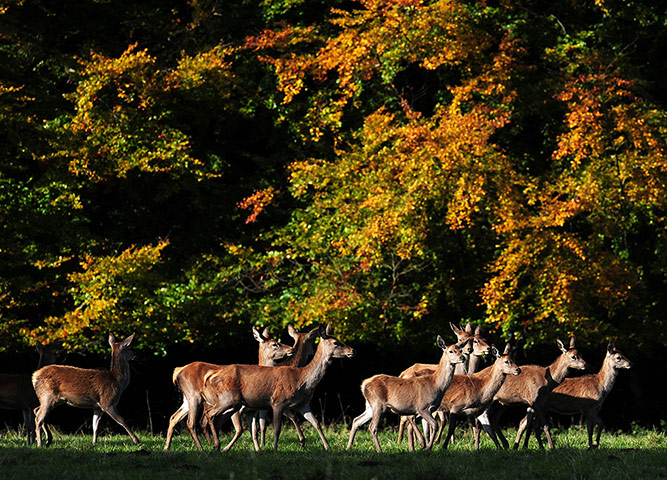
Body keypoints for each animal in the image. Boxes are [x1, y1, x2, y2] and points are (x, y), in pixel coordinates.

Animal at [163, 326, 294, 451]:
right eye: (275, 344)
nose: (291, 349)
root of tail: (178, 371)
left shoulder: (251, 410)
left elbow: (254, 432)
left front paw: (258, 450)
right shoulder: (237, 408)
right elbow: (239, 429)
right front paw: (224, 447)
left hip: (187, 399)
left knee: (174, 417)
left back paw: (167, 447)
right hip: (194, 396)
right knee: (191, 422)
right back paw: (201, 448)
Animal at [201, 323, 355, 451]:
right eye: (336, 342)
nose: (352, 350)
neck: (302, 380)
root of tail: (212, 377)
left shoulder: (303, 404)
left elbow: (316, 423)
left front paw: (327, 447)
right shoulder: (278, 402)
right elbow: (277, 428)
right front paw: (275, 449)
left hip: (235, 404)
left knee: (218, 419)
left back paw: (221, 447)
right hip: (228, 399)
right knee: (210, 415)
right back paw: (216, 445)